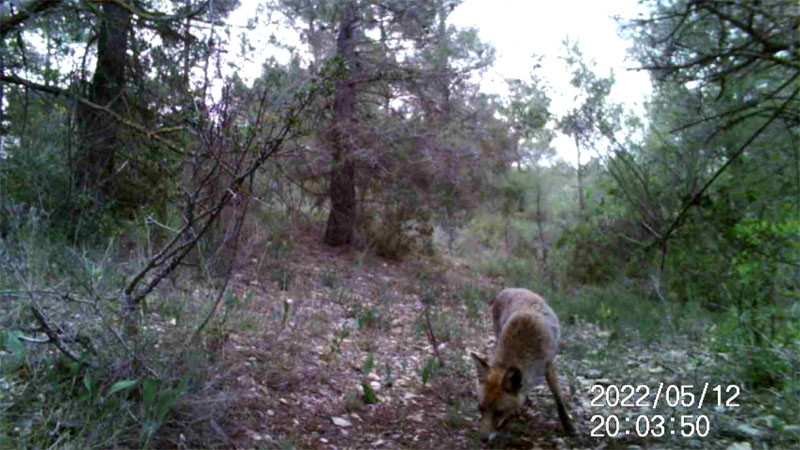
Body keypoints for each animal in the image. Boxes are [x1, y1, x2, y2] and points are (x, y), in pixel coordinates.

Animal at [468, 288, 576, 440]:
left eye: (498, 412)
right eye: (480, 408)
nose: (483, 439)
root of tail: (509, 288)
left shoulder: (549, 366)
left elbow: (558, 399)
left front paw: (568, 426)